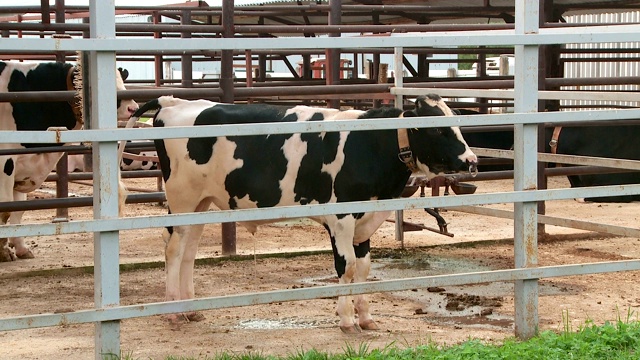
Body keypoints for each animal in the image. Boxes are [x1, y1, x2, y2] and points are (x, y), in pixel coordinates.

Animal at [0, 60, 139, 260]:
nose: (133, 108)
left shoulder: (21, 168)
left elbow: (18, 208)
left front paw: (20, 248)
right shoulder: (5, 163)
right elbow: (5, 209)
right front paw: (3, 252)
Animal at [127, 94, 478, 334]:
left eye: (458, 124)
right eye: (437, 130)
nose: (472, 161)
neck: (371, 141)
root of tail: (174, 101)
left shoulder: (365, 218)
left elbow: (364, 268)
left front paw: (366, 318)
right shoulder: (340, 217)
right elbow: (347, 266)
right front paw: (347, 320)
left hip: (201, 204)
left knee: (189, 251)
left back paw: (191, 309)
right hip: (182, 199)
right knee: (174, 250)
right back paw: (173, 312)